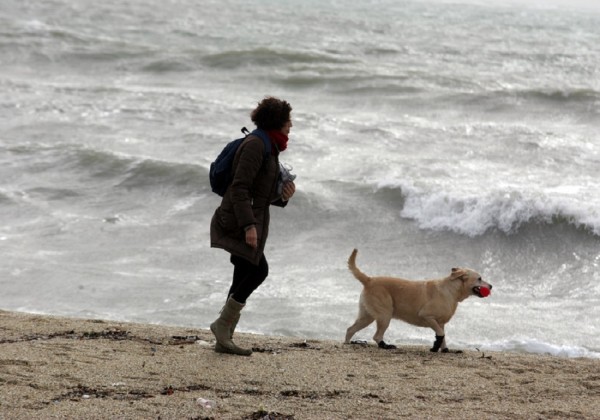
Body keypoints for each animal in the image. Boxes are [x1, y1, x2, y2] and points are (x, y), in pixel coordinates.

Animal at [342, 248, 492, 352]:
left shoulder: (441, 322)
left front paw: (444, 349)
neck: (451, 290)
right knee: (377, 336)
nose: (491, 286)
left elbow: (443, 335)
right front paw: (435, 347)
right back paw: (386, 346)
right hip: (385, 315)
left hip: (367, 316)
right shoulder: (427, 316)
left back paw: (348, 343)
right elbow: (440, 334)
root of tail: (369, 280)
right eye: (479, 278)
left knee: (350, 329)